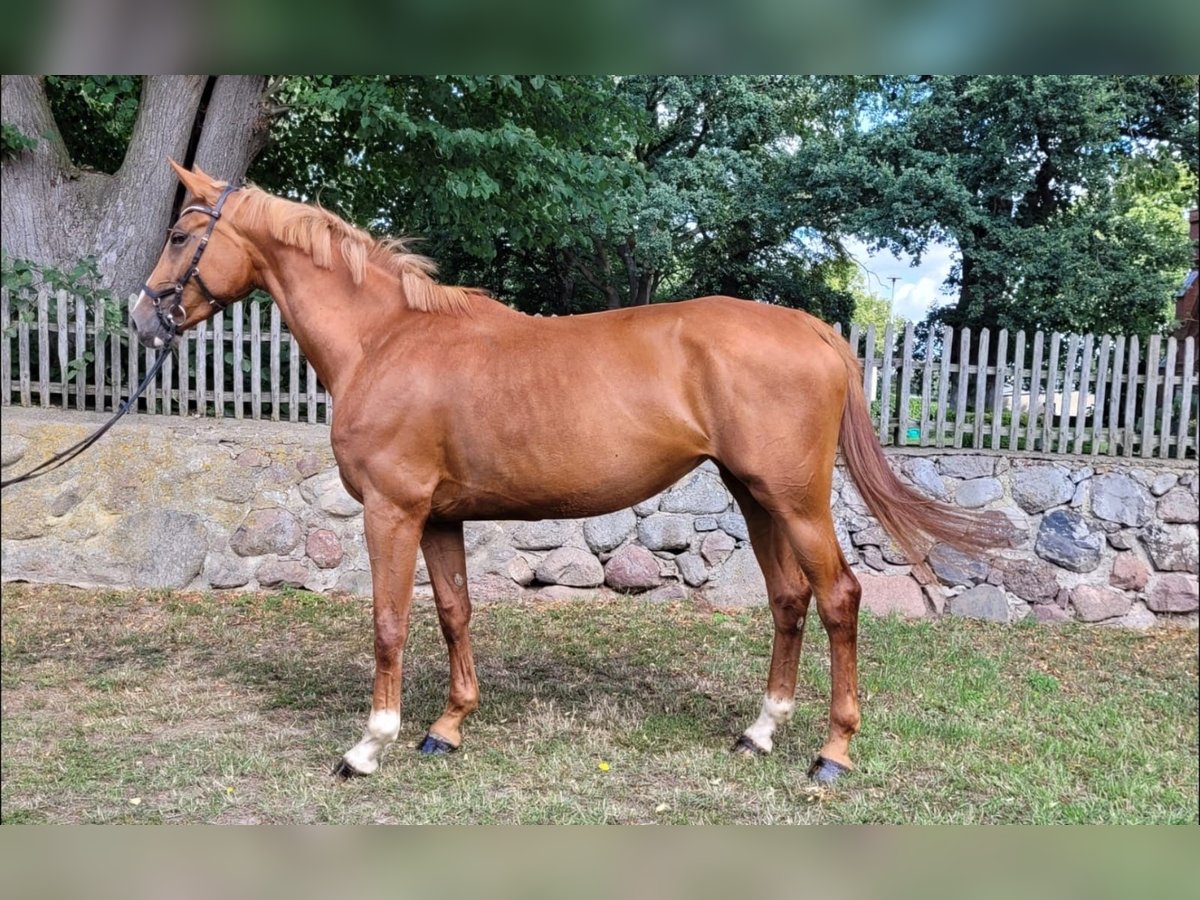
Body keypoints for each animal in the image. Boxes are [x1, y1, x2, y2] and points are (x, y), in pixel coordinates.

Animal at [133, 165, 1003, 787]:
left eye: (179, 233)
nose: (143, 317)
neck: (387, 339)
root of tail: (814, 330)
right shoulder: (439, 516)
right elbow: (454, 613)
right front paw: (446, 729)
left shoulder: (392, 511)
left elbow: (388, 624)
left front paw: (368, 747)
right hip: (754, 496)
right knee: (789, 600)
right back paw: (760, 731)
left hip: (793, 500)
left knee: (839, 599)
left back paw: (832, 753)